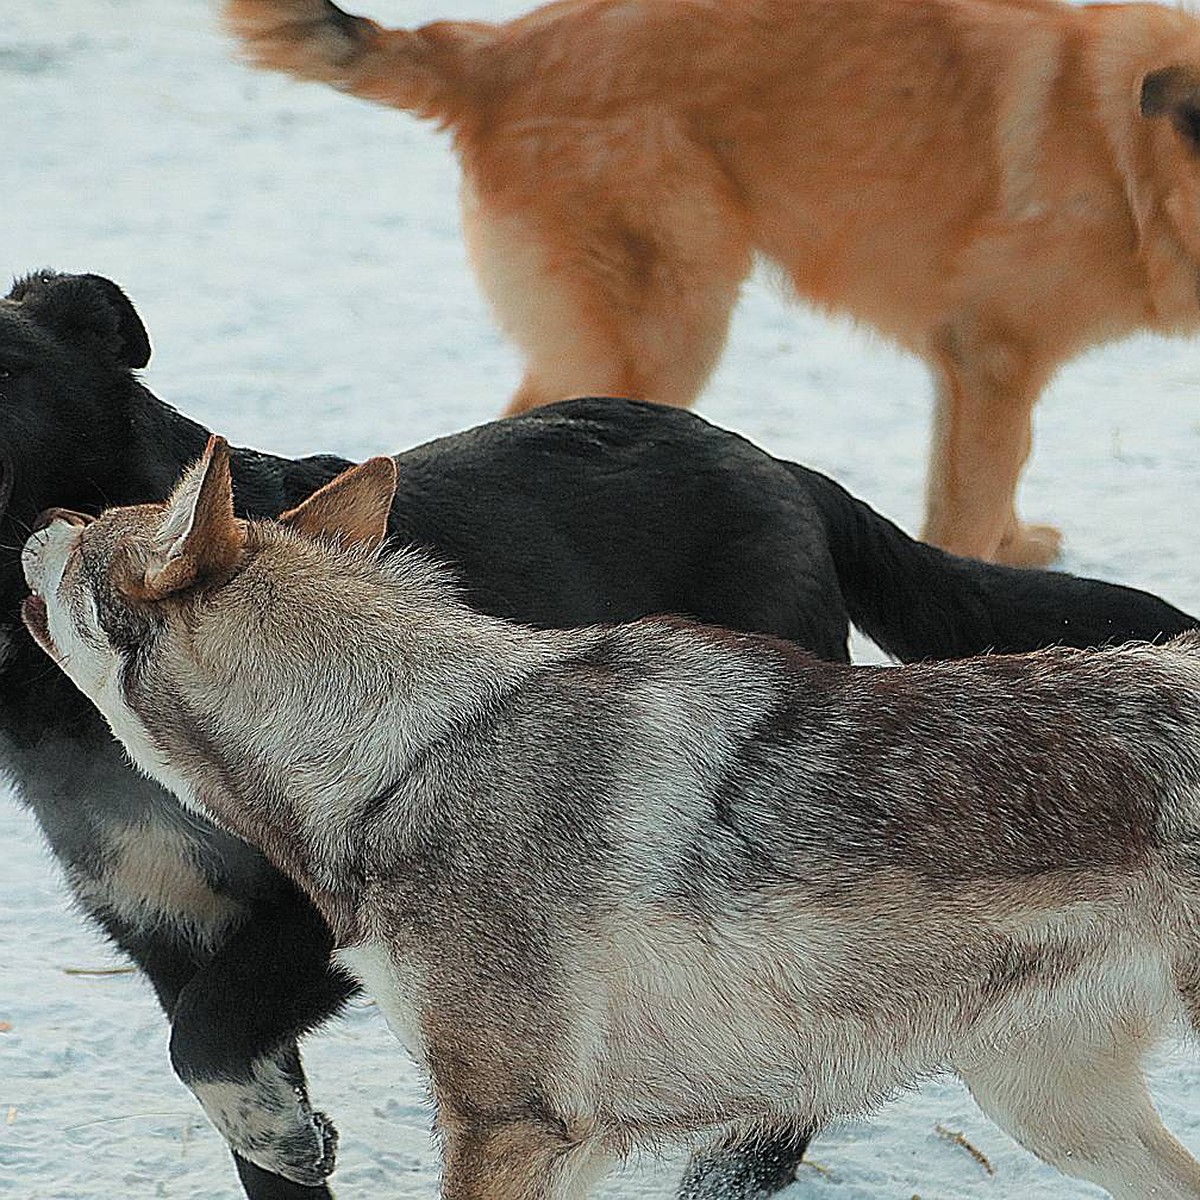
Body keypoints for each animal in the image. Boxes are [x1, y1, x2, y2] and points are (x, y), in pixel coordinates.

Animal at [4, 267, 1195, 1195]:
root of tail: (778, 462)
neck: (399, 754)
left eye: (91, 535)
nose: (47, 522)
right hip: (1044, 1100)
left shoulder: (504, 1118)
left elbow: (213, 1049)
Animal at [225, 0, 1200, 566]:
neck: (1128, 155)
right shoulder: (992, 356)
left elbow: (1002, 471)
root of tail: (495, 51)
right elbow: (969, 502)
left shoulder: (982, 374)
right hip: (669, 334)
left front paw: (1018, 546)